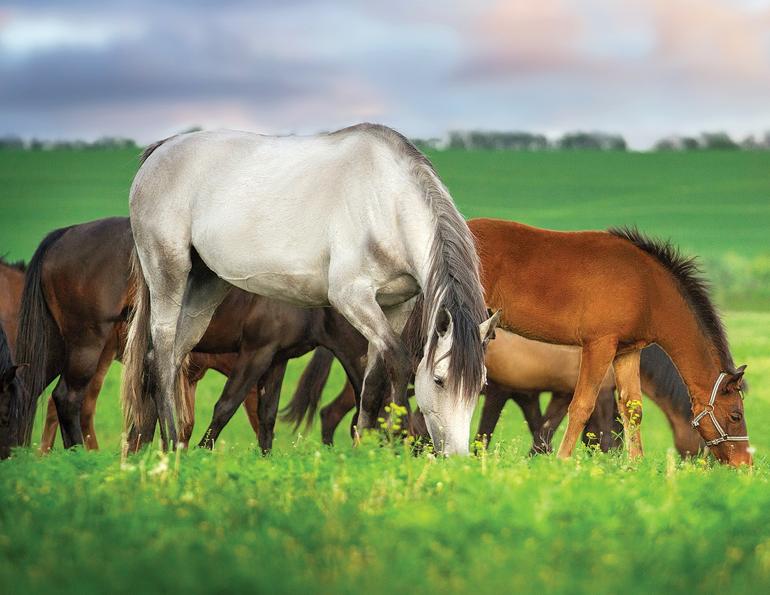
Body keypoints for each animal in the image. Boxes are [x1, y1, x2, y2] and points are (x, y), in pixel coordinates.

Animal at [125, 124, 497, 455]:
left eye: (480, 386)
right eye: (439, 380)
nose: (456, 456)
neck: (386, 203)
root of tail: (162, 148)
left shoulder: (394, 307)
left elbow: (372, 382)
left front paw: (363, 450)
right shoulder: (352, 298)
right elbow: (400, 363)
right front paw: (401, 441)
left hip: (206, 285)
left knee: (168, 359)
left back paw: (154, 449)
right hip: (168, 274)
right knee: (161, 357)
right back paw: (171, 446)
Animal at [470, 218, 750, 465]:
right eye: (736, 415)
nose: (745, 463)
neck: (647, 289)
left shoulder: (627, 352)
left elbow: (632, 409)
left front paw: (635, 465)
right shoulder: (599, 345)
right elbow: (581, 407)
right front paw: (563, 461)